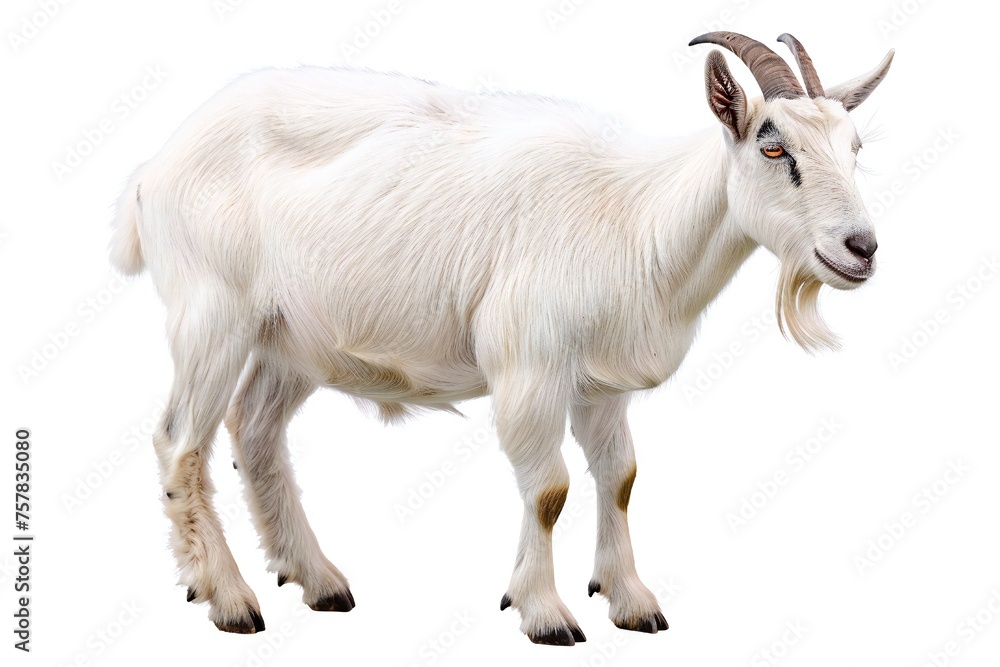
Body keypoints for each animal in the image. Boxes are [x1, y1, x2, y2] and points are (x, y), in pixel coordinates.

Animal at [110, 31, 892, 644]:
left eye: (855, 146)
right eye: (773, 146)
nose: (861, 248)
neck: (636, 218)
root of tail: (153, 168)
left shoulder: (599, 383)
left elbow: (620, 477)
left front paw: (631, 601)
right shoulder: (529, 363)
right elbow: (548, 488)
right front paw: (544, 613)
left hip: (290, 336)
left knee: (255, 430)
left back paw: (319, 580)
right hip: (213, 314)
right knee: (180, 441)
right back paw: (227, 598)